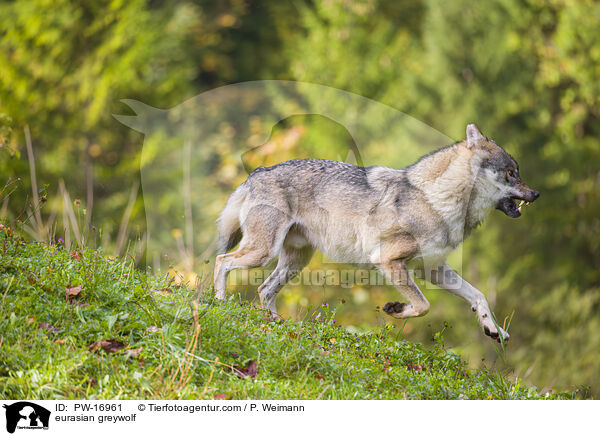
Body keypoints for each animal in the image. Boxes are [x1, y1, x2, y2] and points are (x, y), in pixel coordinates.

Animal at [214, 124, 540, 342]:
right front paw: (395, 308)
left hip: (293, 262)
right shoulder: (389, 261)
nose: (536, 194)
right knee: (222, 261)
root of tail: (258, 172)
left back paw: (276, 325)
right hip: (263, 252)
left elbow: (478, 295)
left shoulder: (433, 269)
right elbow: (423, 305)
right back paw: (219, 302)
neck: (434, 199)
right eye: (511, 173)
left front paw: (493, 329)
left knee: (263, 289)